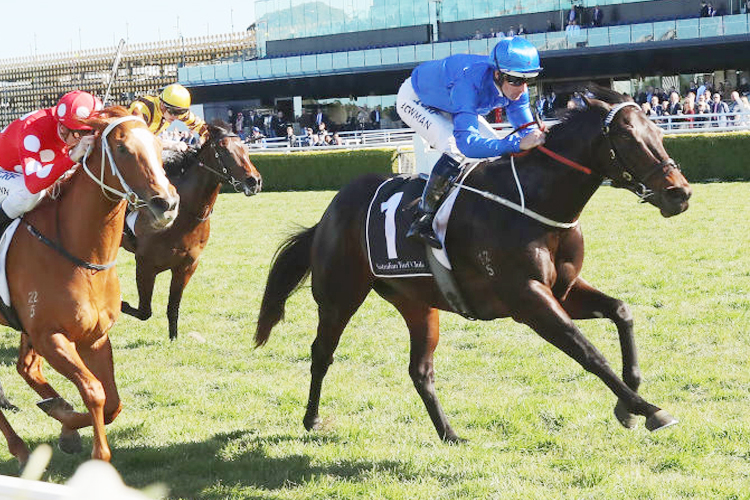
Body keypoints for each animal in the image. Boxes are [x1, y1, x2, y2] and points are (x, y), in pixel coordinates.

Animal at [0, 107, 179, 466]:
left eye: (158, 145)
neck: (79, 253)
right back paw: (19, 447)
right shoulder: (51, 336)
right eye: (122, 148)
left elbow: (112, 402)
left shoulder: (94, 337)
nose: (166, 204)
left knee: (27, 368)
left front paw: (65, 424)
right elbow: (93, 390)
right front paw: (96, 453)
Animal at [122, 121, 262, 340]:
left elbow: (172, 308)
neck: (183, 215)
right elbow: (144, 311)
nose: (254, 181)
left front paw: (173, 339)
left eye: (245, 148)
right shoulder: (145, 264)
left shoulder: (186, 266)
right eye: (223, 149)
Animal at [258, 89, 692, 442]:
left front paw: (629, 403)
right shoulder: (528, 300)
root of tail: (327, 214)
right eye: (627, 136)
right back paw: (312, 419)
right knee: (321, 353)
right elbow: (588, 352)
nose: (680, 193)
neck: (535, 202)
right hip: (339, 297)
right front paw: (648, 409)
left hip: (417, 304)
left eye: (657, 131)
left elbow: (621, 311)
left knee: (420, 371)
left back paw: (449, 433)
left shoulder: (562, 291)